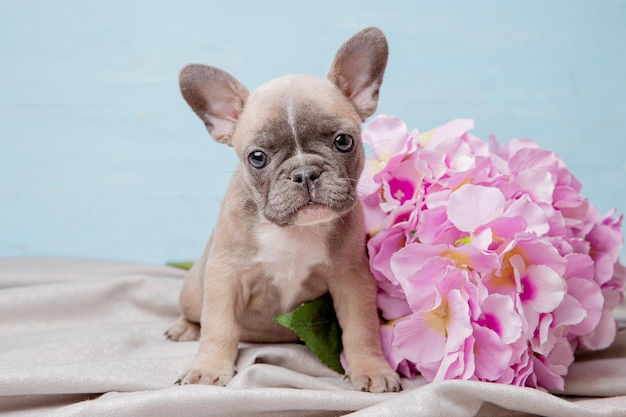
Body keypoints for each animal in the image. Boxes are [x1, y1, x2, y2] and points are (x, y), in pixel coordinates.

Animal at [166, 27, 400, 392]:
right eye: (257, 157)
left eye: (343, 141)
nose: (304, 173)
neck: (294, 231)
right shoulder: (224, 276)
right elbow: (219, 325)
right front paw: (209, 368)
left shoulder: (351, 278)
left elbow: (361, 329)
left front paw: (372, 368)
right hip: (193, 290)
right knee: (195, 313)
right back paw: (185, 327)